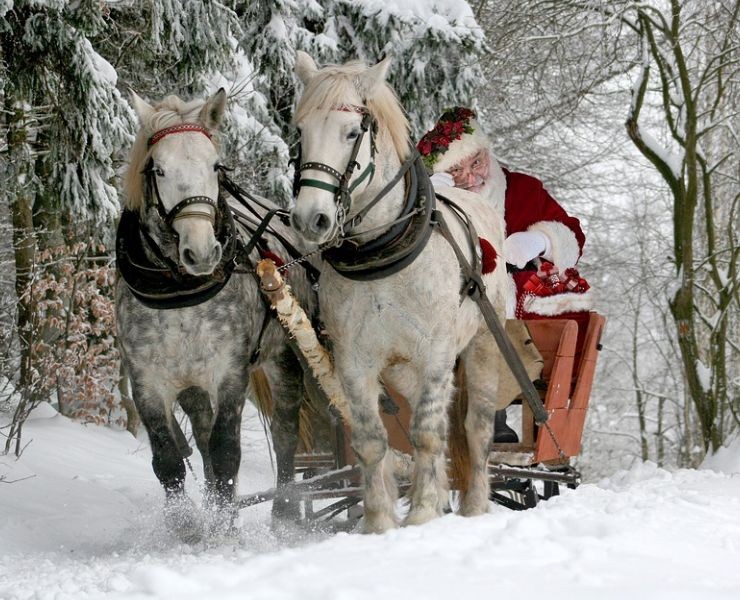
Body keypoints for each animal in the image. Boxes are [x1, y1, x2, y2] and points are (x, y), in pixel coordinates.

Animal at [292, 50, 512, 528]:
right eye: (300, 132)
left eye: (352, 132)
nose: (310, 219)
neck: (381, 254)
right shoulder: (354, 361)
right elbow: (372, 440)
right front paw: (379, 521)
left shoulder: (436, 352)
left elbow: (426, 434)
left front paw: (424, 513)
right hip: (401, 370)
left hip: (484, 345)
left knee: (475, 427)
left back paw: (473, 505)